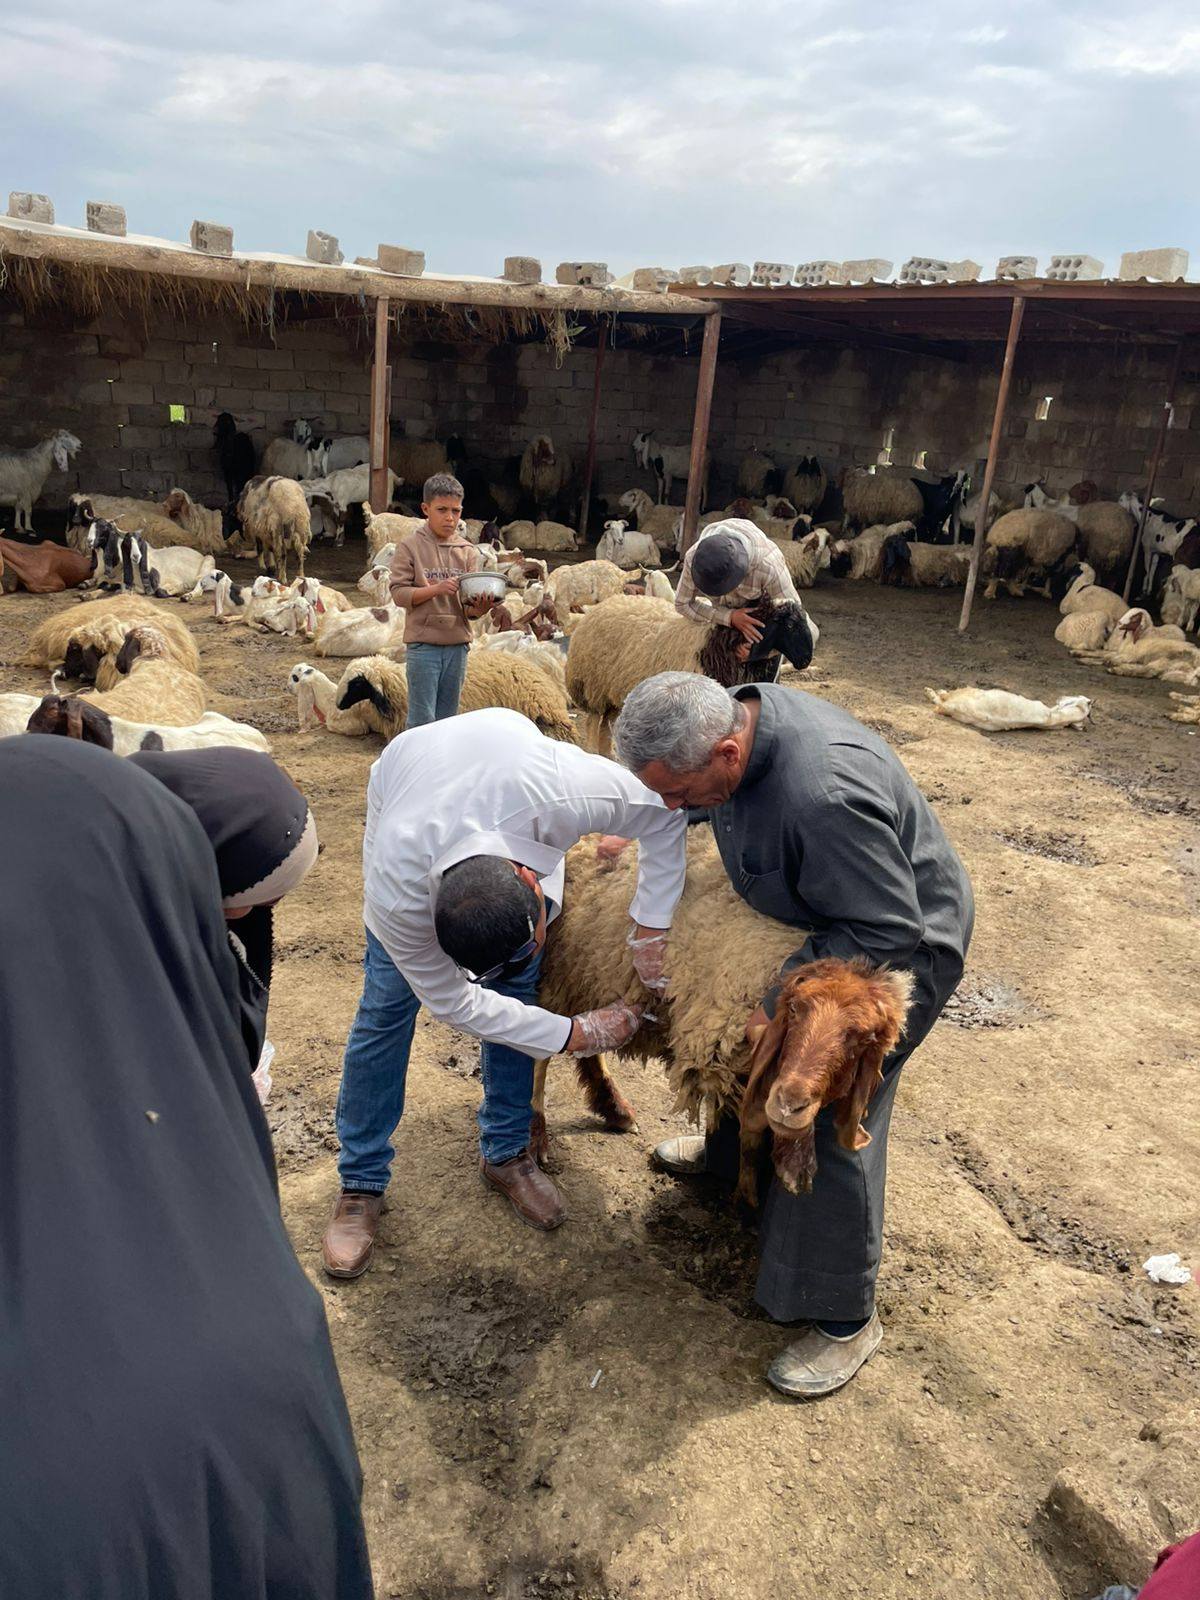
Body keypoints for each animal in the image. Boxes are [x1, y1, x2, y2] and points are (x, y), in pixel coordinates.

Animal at [532, 829, 914, 1201]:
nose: (791, 1105)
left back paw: (613, 1106)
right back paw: (537, 1138)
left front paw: (748, 1191)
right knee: (541, 1053)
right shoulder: (720, 1055)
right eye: (793, 1010)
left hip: (588, 971)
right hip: (556, 965)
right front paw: (750, 1194)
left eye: (864, 1039)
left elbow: (751, 1136)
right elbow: (751, 1131)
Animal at [566, 594, 814, 755]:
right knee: (593, 722)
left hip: (616, 691)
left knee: (606, 726)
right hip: (593, 684)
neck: (719, 646)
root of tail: (602, 605)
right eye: (790, 625)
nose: (805, 660)